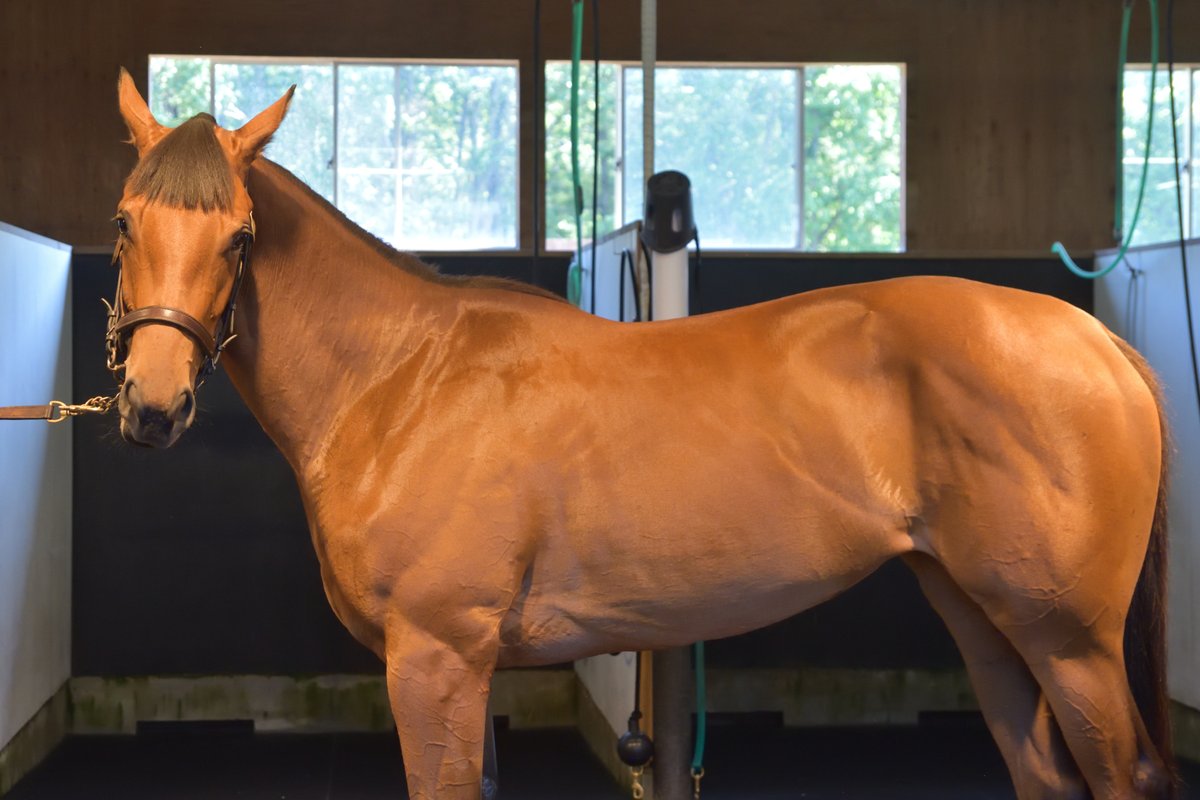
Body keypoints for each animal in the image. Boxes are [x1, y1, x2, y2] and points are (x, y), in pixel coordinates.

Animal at [107, 69, 1175, 799]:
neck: (403, 379)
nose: (153, 407)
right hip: (987, 620)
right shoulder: (460, 669)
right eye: (123, 224)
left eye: (239, 237)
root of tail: (1097, 340)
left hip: (1072, 643)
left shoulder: (435, 658)